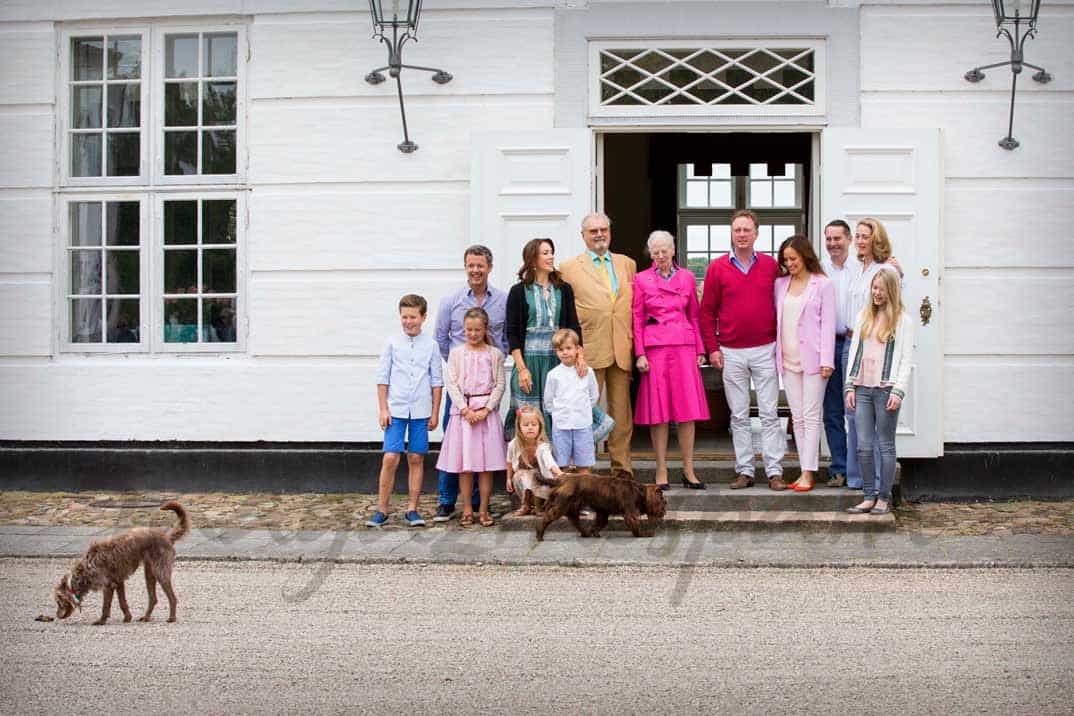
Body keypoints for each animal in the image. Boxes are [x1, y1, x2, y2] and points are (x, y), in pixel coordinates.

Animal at [52, 502, 190, 622]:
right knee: (153, 599)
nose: (57, 616)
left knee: (172, 598)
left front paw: (101, 621)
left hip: (160, 572)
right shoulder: (118, 582)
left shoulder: (108, 585)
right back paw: (146, 617)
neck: (86, 569)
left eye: (59, 602)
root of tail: (166, 537)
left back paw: (171, 618)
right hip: (149, 572)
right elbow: (122, 602)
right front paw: (127, 617)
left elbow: (106, 606)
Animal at [534, 472, 665, 541]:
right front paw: (643, 534)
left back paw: (586, 533)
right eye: (663, 501)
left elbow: (600, 523)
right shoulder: (630, 512)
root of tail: (562, 480)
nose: (664, 511)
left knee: (575, 521)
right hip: (562, 505)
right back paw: (539, 536)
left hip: (571, 506)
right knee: (547, 518)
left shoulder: (603, 511)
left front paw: (594, 532)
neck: (640, 492)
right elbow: (635, 525)